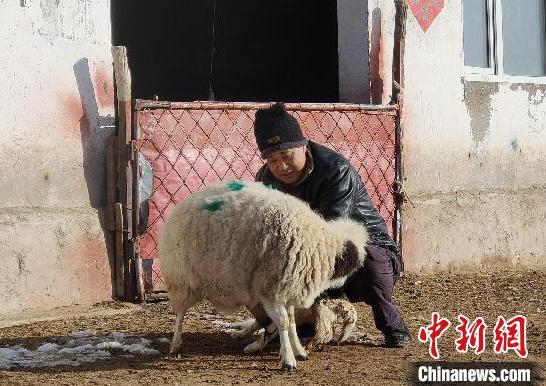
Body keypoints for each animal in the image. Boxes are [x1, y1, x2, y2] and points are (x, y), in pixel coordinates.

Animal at [159, 179, 368, 370]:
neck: (321, 246)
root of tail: (182, 204)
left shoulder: (287, 290)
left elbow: (292, 322)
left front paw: (299, 351)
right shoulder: (271, 289)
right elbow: (284, 323)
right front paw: (288, 360)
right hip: (181, 279)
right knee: (180, 314)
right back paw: (176, 345)